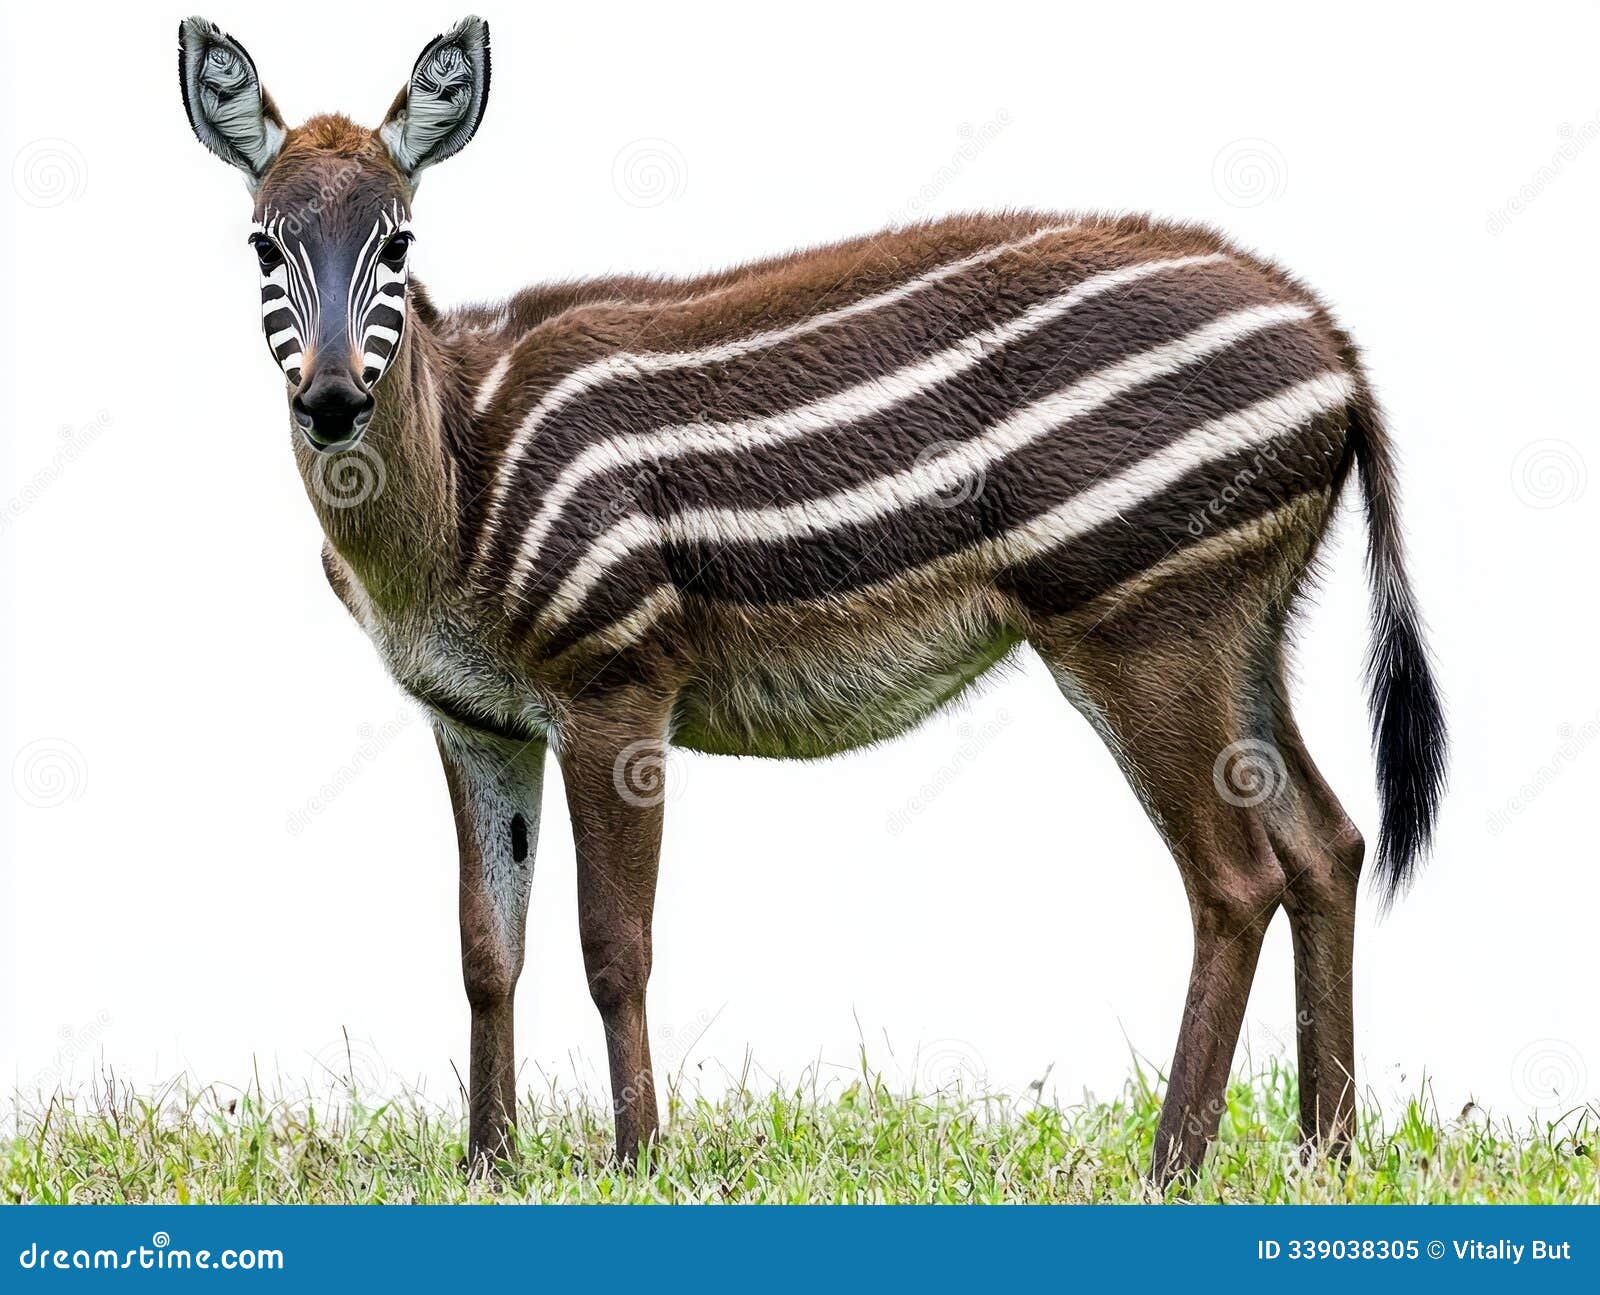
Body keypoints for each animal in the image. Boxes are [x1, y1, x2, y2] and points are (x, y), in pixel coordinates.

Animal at [181, 15, 1446, 1184]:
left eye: (397, 242)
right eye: (261, 246)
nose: (333, 400)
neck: (456, 483)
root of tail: (1327, 334)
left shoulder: (616, 686)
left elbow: (612, 946)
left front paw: (639, 1162)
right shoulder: (474, 721)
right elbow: (487, 950)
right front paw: (489, 1166)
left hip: (1143, 628)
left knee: (1235, 880)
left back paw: (1171, 1168)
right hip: (1238, 627)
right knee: (1327, 843)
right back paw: (1325, 1152)